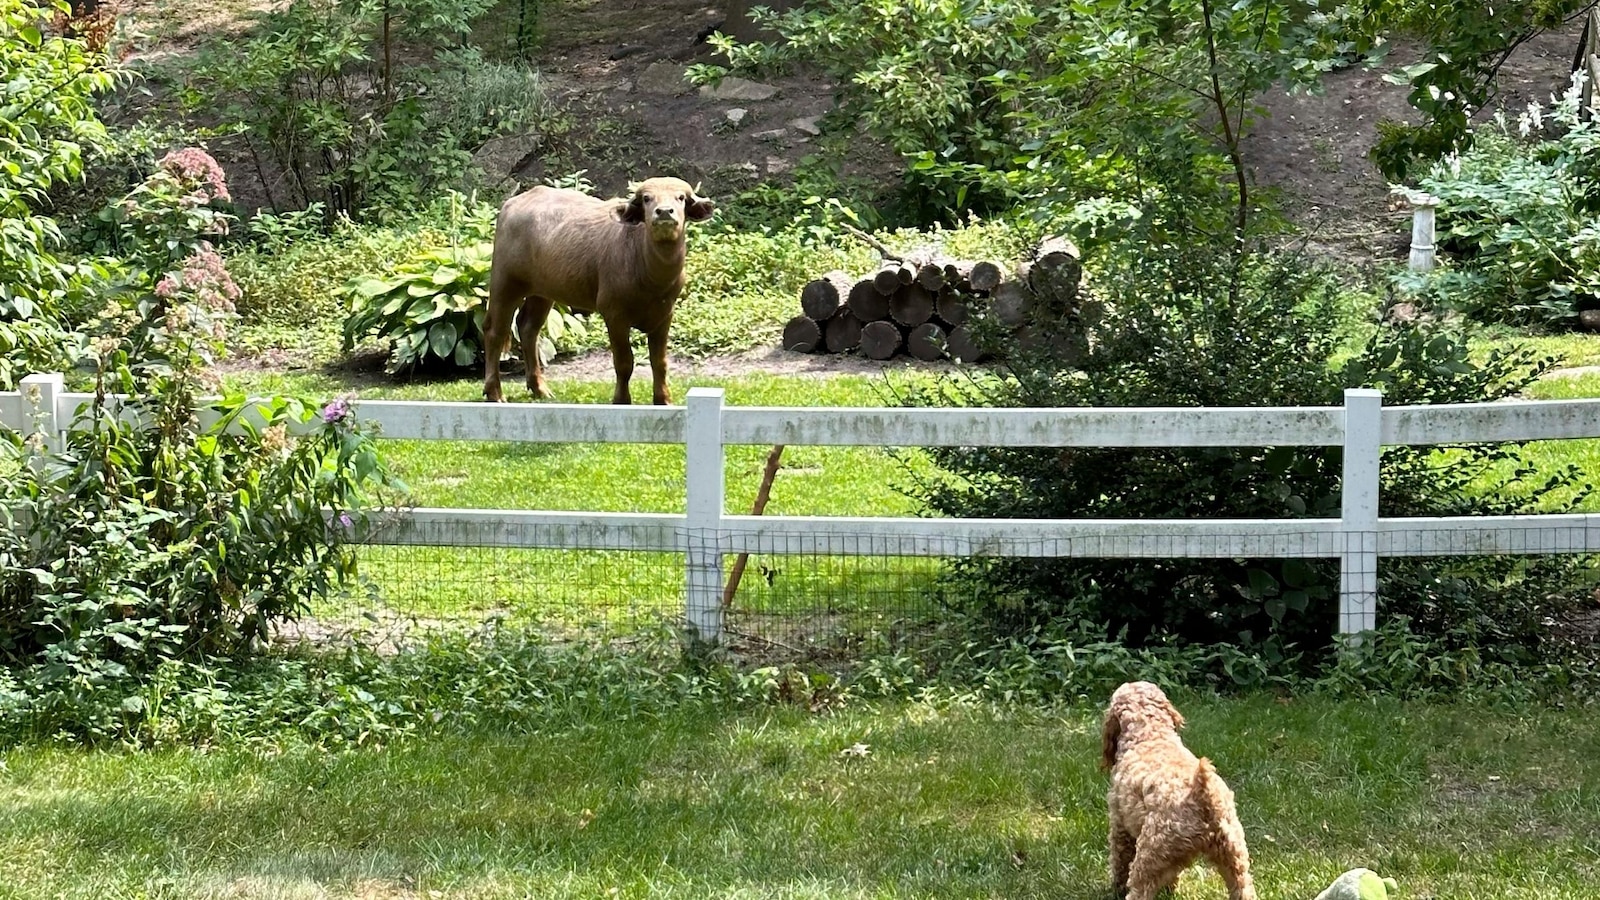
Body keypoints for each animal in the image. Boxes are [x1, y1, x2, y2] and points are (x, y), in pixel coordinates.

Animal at [1100, 679, 1260, 896]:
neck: (1150, 734)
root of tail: (1203, 794)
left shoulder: (1119, 825)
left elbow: (1119, 862)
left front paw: (1116, 888)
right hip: (1234, 855)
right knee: (1243, 888)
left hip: (1150, 856)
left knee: (1139, 889)